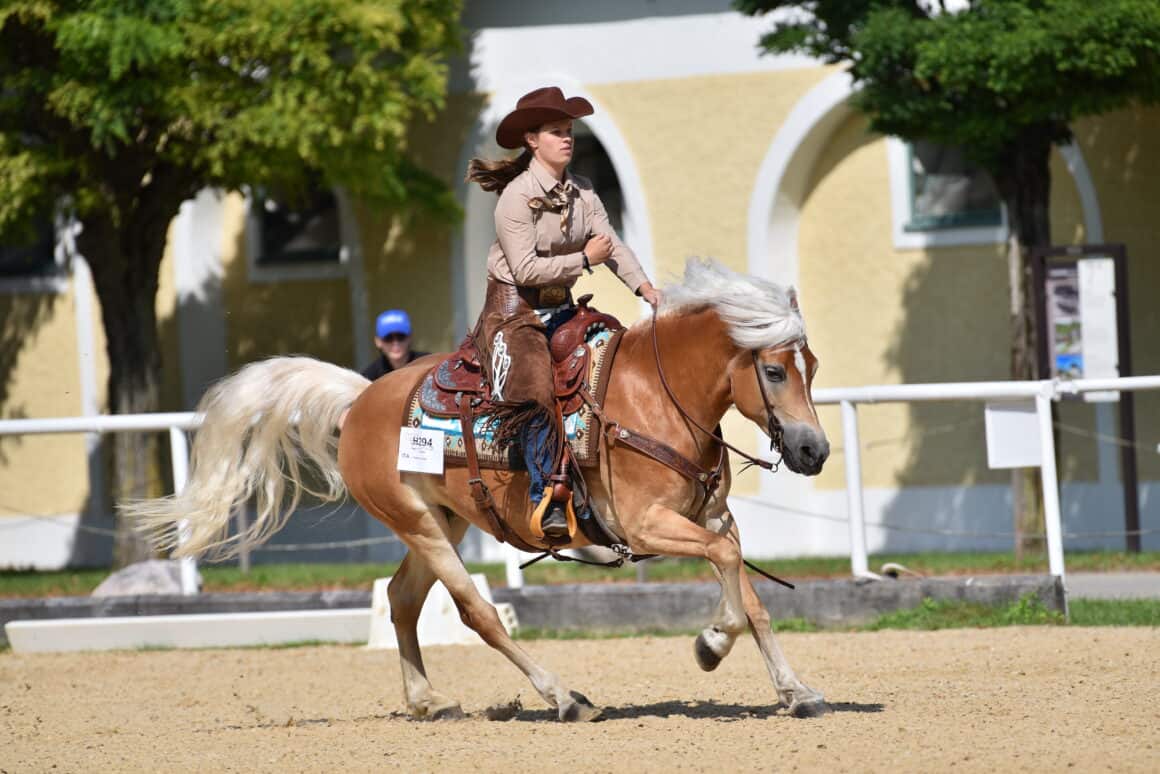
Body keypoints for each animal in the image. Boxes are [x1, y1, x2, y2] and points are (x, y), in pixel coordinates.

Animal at [131, 258, 830, 719]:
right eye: (773, 371)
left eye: (813, 366)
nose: (813, 450)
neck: (655, 396)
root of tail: (360, 401)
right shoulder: (647, 524)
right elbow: (730, 572)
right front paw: (711, 645)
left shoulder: (712, 519)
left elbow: (749, 590)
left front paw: (795, 690)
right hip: (418, 524)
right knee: (475, 612)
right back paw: (562, 695)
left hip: (441, 520)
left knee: (402, 600)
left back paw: (428, 700)